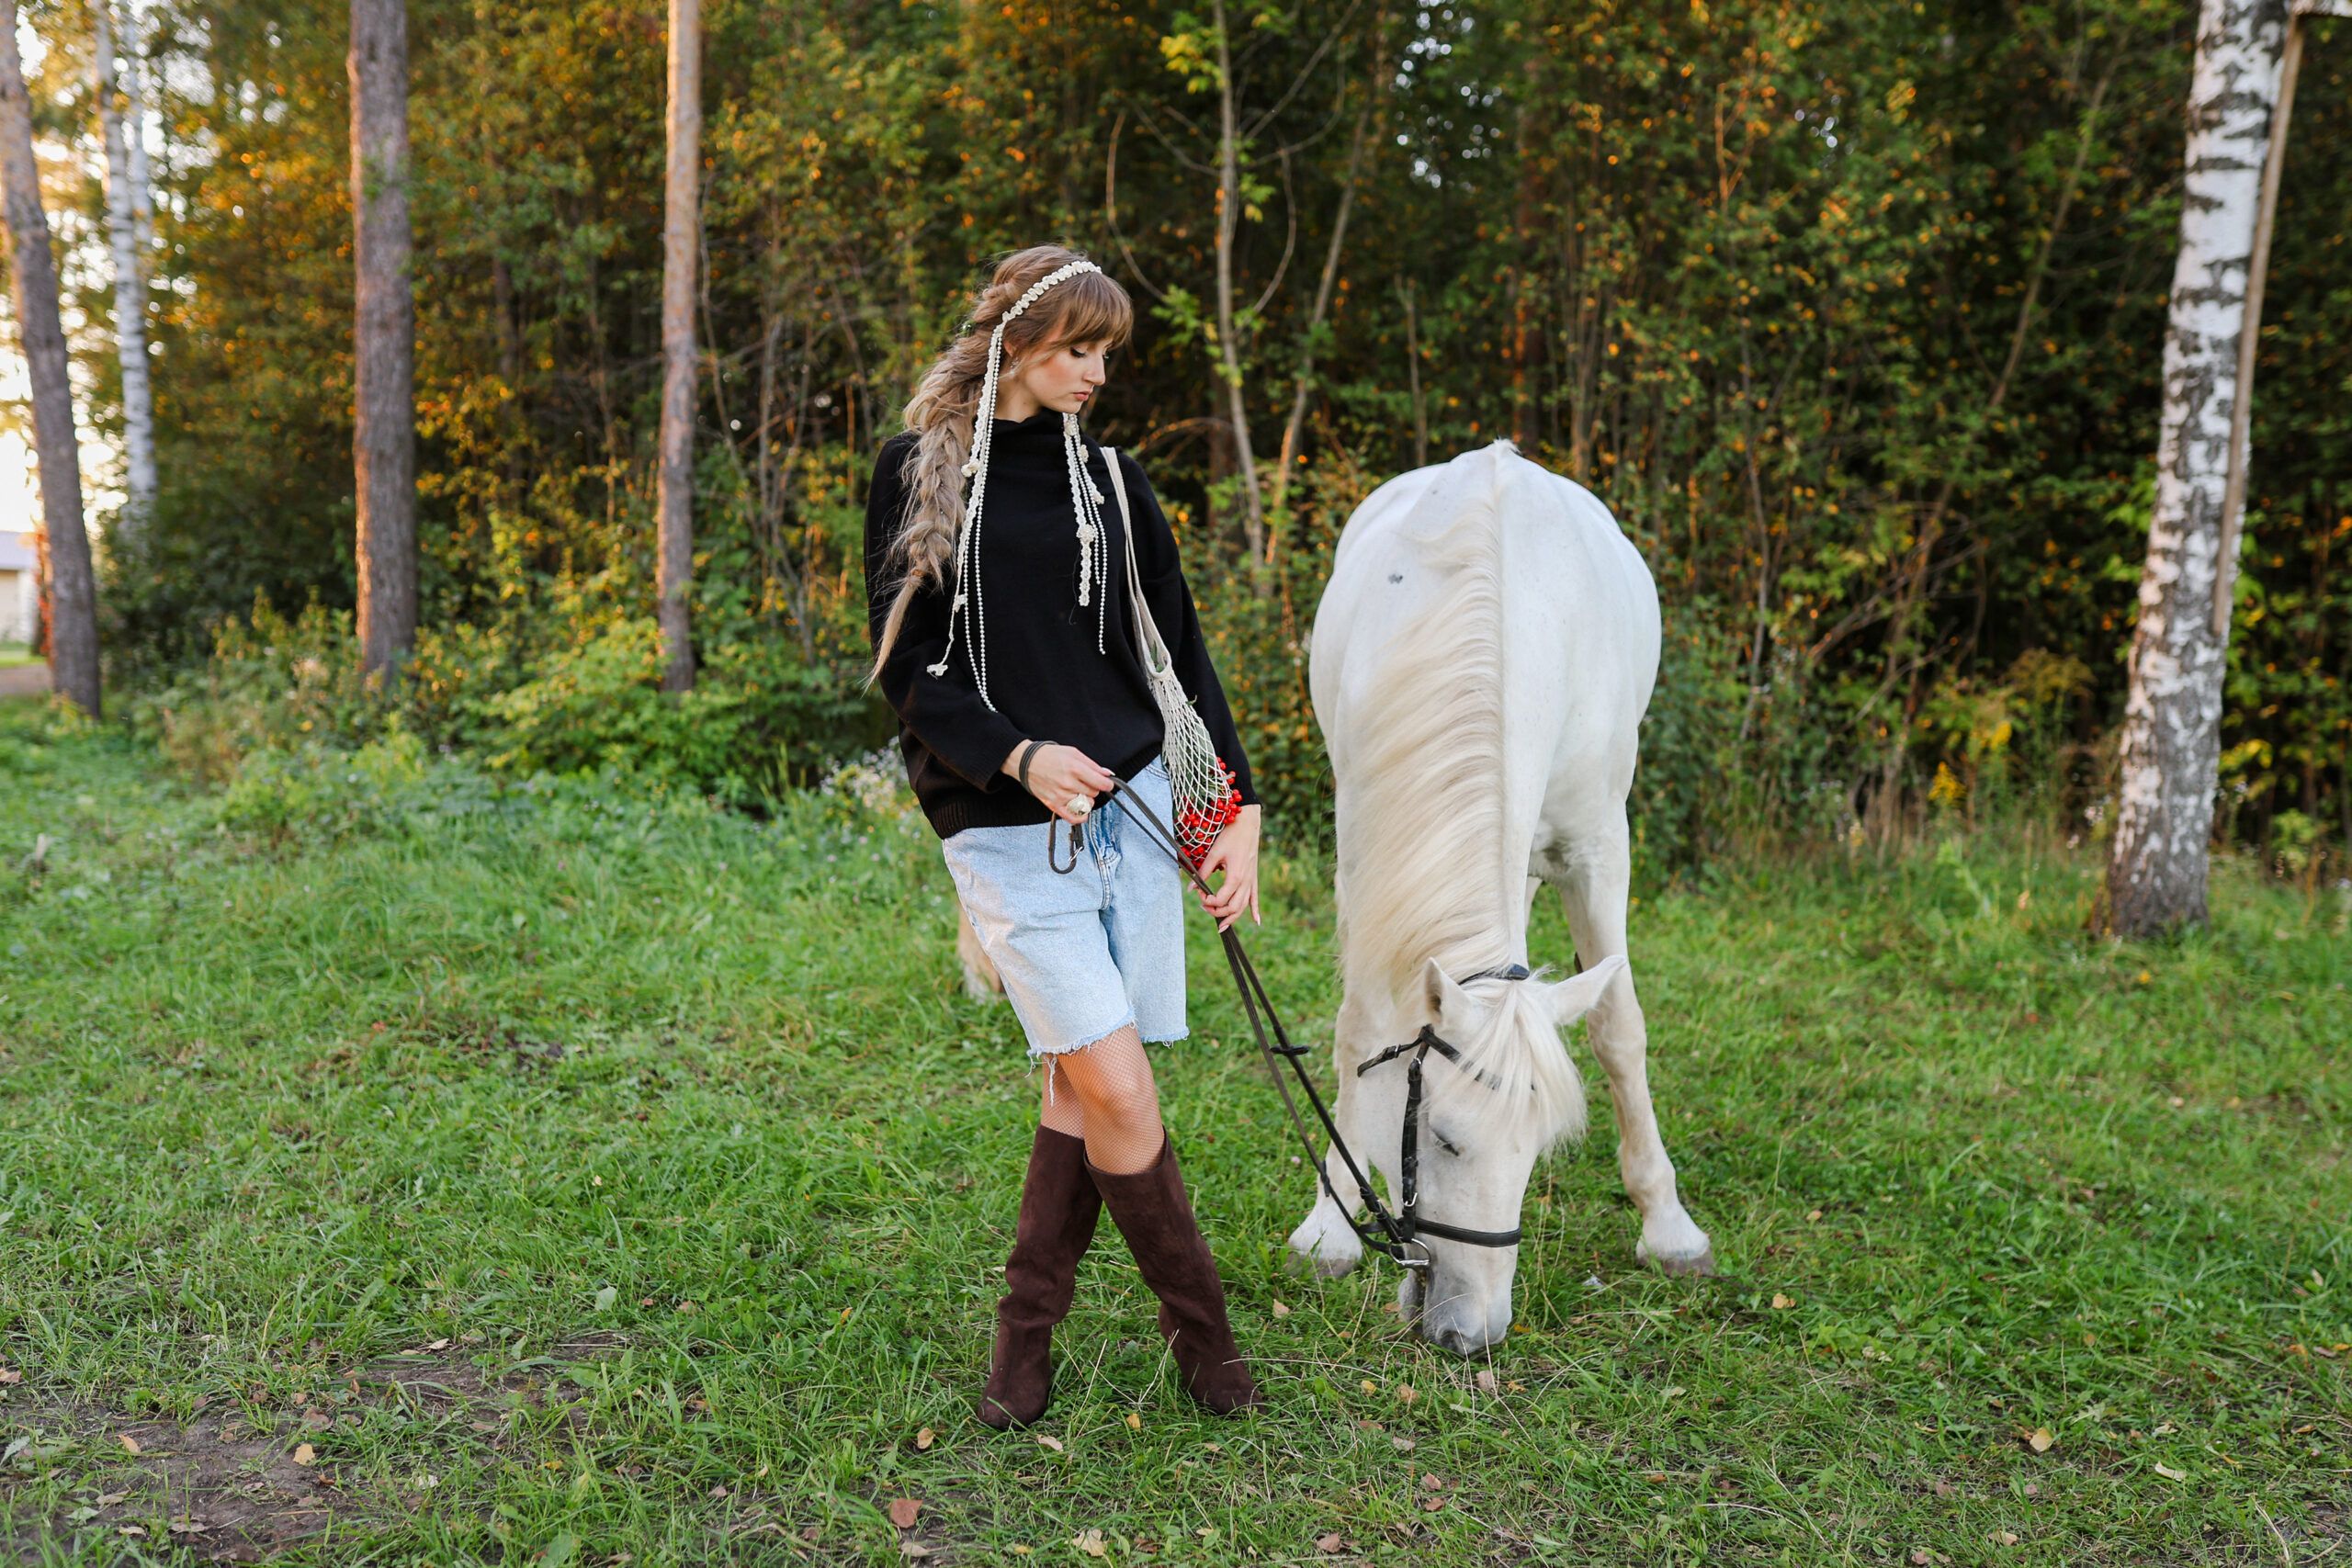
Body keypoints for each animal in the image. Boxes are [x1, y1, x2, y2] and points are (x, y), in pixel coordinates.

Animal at [1284, 437, 1714, 1355]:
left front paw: (1668, 1225)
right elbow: (1355, 1030)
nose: (1469, 1332)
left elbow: (1619, 1028)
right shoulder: (1363, 854)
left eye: (1537, 1150)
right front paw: (1330, 1225)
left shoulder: (1598, 849)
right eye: (1444, 1140)